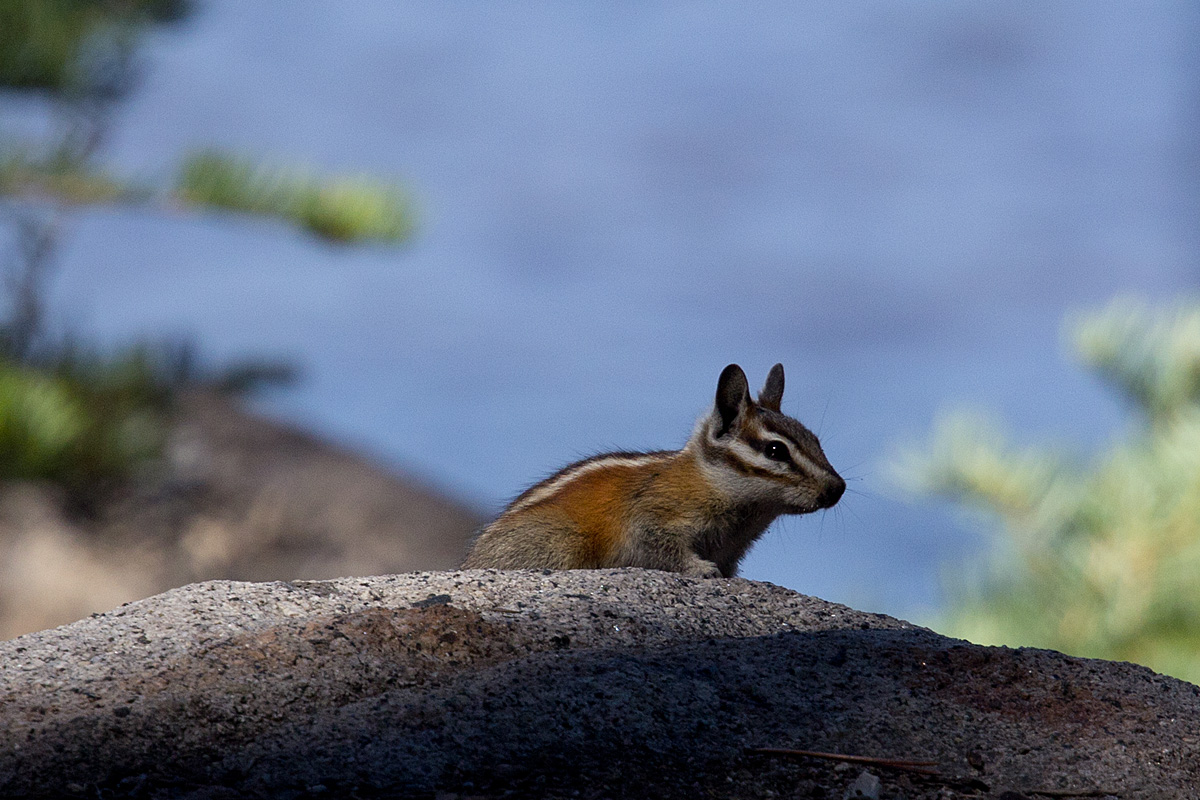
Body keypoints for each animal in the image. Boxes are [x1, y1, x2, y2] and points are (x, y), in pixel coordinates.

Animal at [462, 363, 845, 578]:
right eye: (776, 450)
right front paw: (701, 570)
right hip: (560, 542)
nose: (837, 488)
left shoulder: (733, 550)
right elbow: (663, 549)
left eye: (815, 440)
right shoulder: (651, 520)